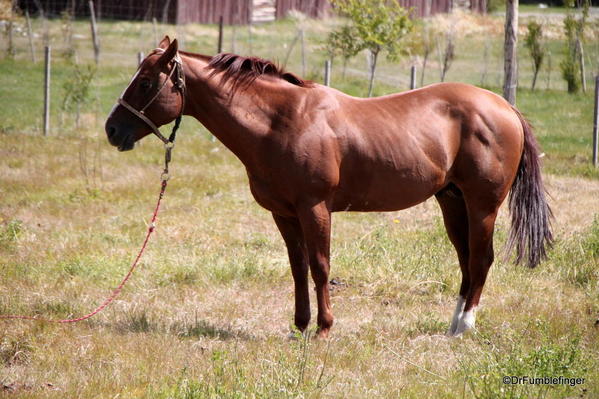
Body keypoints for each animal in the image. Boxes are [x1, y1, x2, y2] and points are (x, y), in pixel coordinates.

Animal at [104, 36, 552, 338]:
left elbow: (320, 265)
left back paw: (467, 326)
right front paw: (299, 326)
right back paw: (453, 323)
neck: (282, 122)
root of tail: (504, 106)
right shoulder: (284, 214)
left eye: (146, 83)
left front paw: (323, 328)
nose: (112, 130)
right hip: (451, 202)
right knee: (465, 261)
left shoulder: (314, 208)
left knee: (481, 260)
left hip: (483, 206)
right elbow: (298, 267)